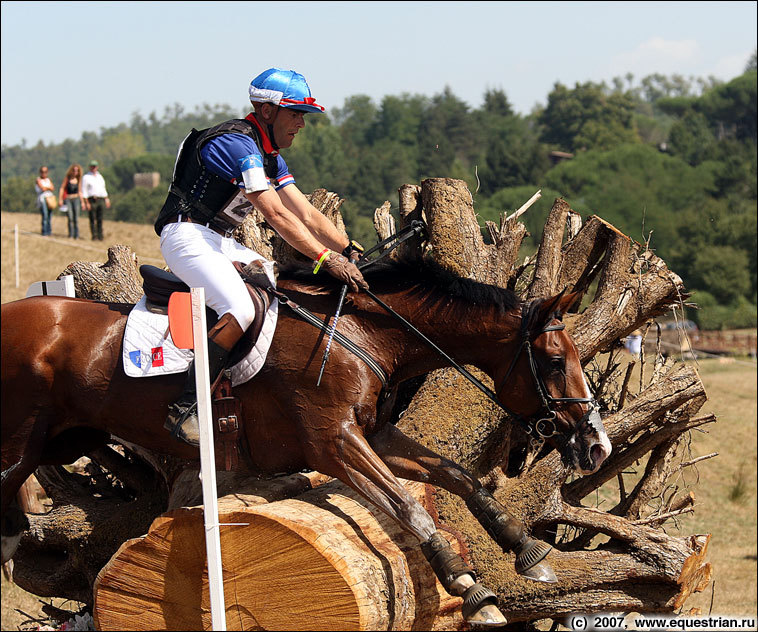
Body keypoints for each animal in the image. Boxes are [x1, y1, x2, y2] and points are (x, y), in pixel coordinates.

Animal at [0, 262, 616, 628]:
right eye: (555, 361)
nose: (597, 447)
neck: (364, 333)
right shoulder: (333, 443)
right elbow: (409, 507)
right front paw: (471, 591)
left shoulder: (373, 434)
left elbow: (456, 477)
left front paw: (527, 550)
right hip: (16, 447)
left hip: (49, 445)